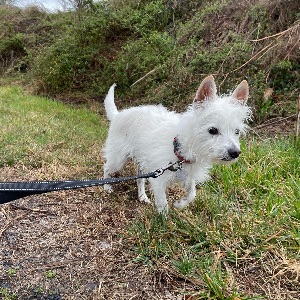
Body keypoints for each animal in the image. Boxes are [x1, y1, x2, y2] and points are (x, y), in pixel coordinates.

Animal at [102, 75, 251, 213]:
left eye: (237, 132)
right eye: (212, 130)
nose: (235, 152)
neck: (180, 150)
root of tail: (117, 115)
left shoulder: (186, 177)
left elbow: (192, 193)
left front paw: (180, 204)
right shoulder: (158, 180)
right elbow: (163, 204)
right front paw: (164, 221)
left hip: (143, 162)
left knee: (140, 179)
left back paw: (142, 196)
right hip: (118, 159)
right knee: (107, 168)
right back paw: (107, 187)